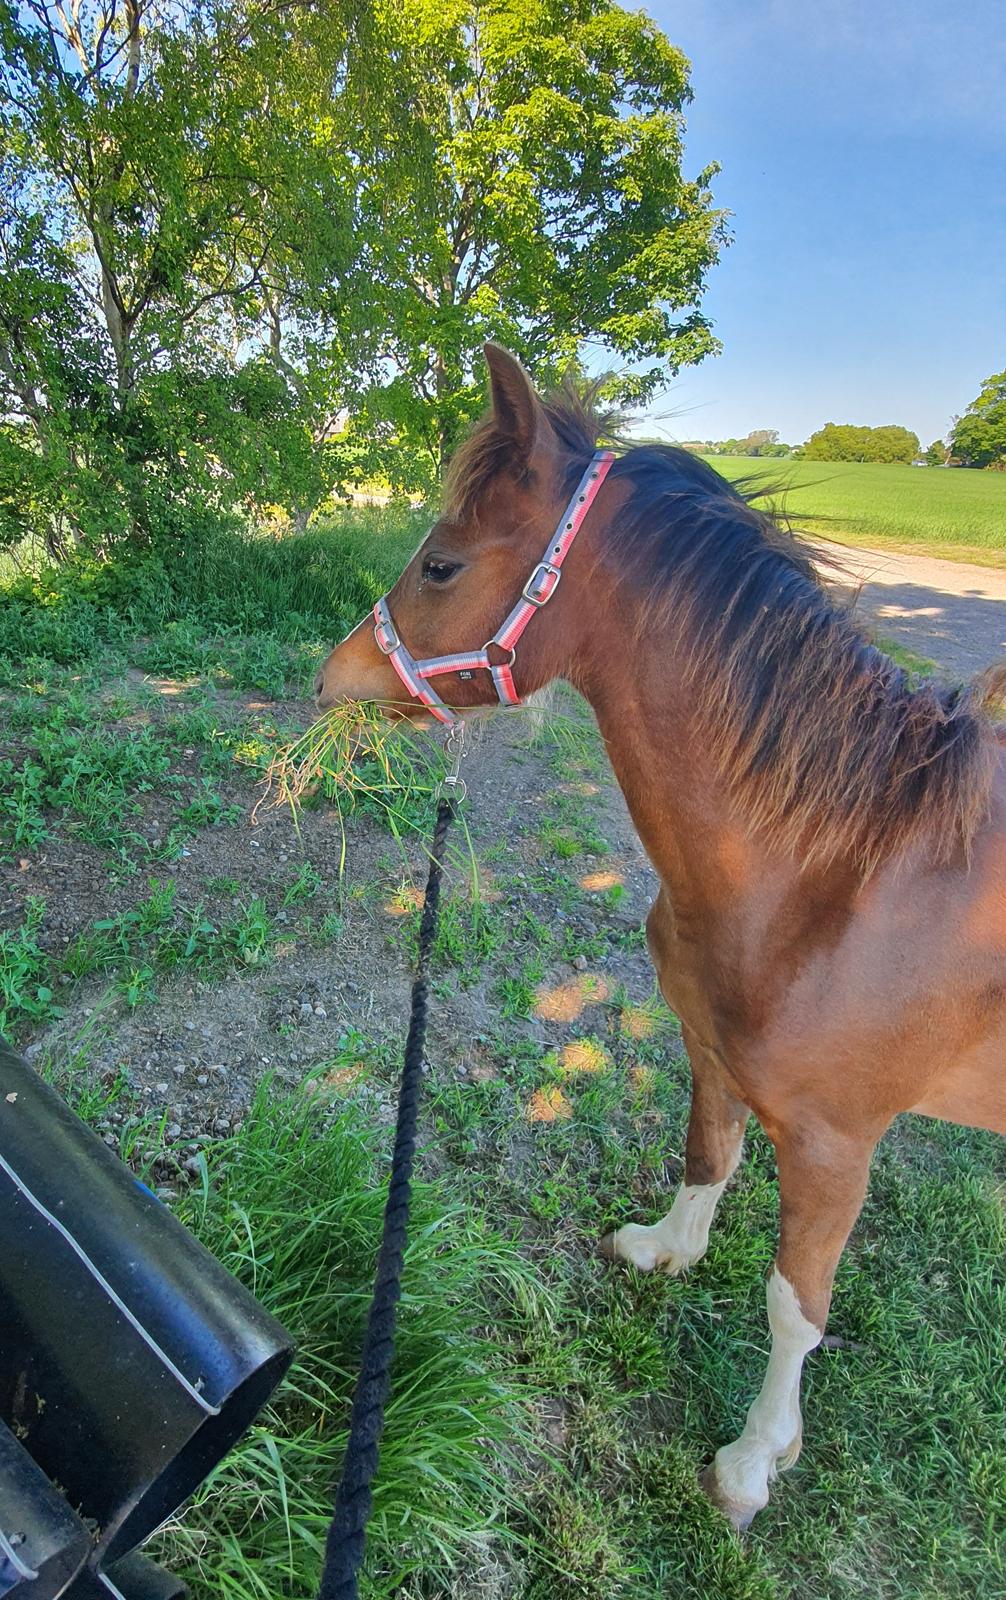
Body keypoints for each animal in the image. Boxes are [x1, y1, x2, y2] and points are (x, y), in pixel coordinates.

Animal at [314, 343, 1006, 1529]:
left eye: (443, 566)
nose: (328, 678)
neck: (843, 872)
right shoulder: (709, 1046)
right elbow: (707, 1154)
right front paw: (662, 1251)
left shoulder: (836, 1147)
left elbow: (794, 1304)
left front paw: (753, 1462)